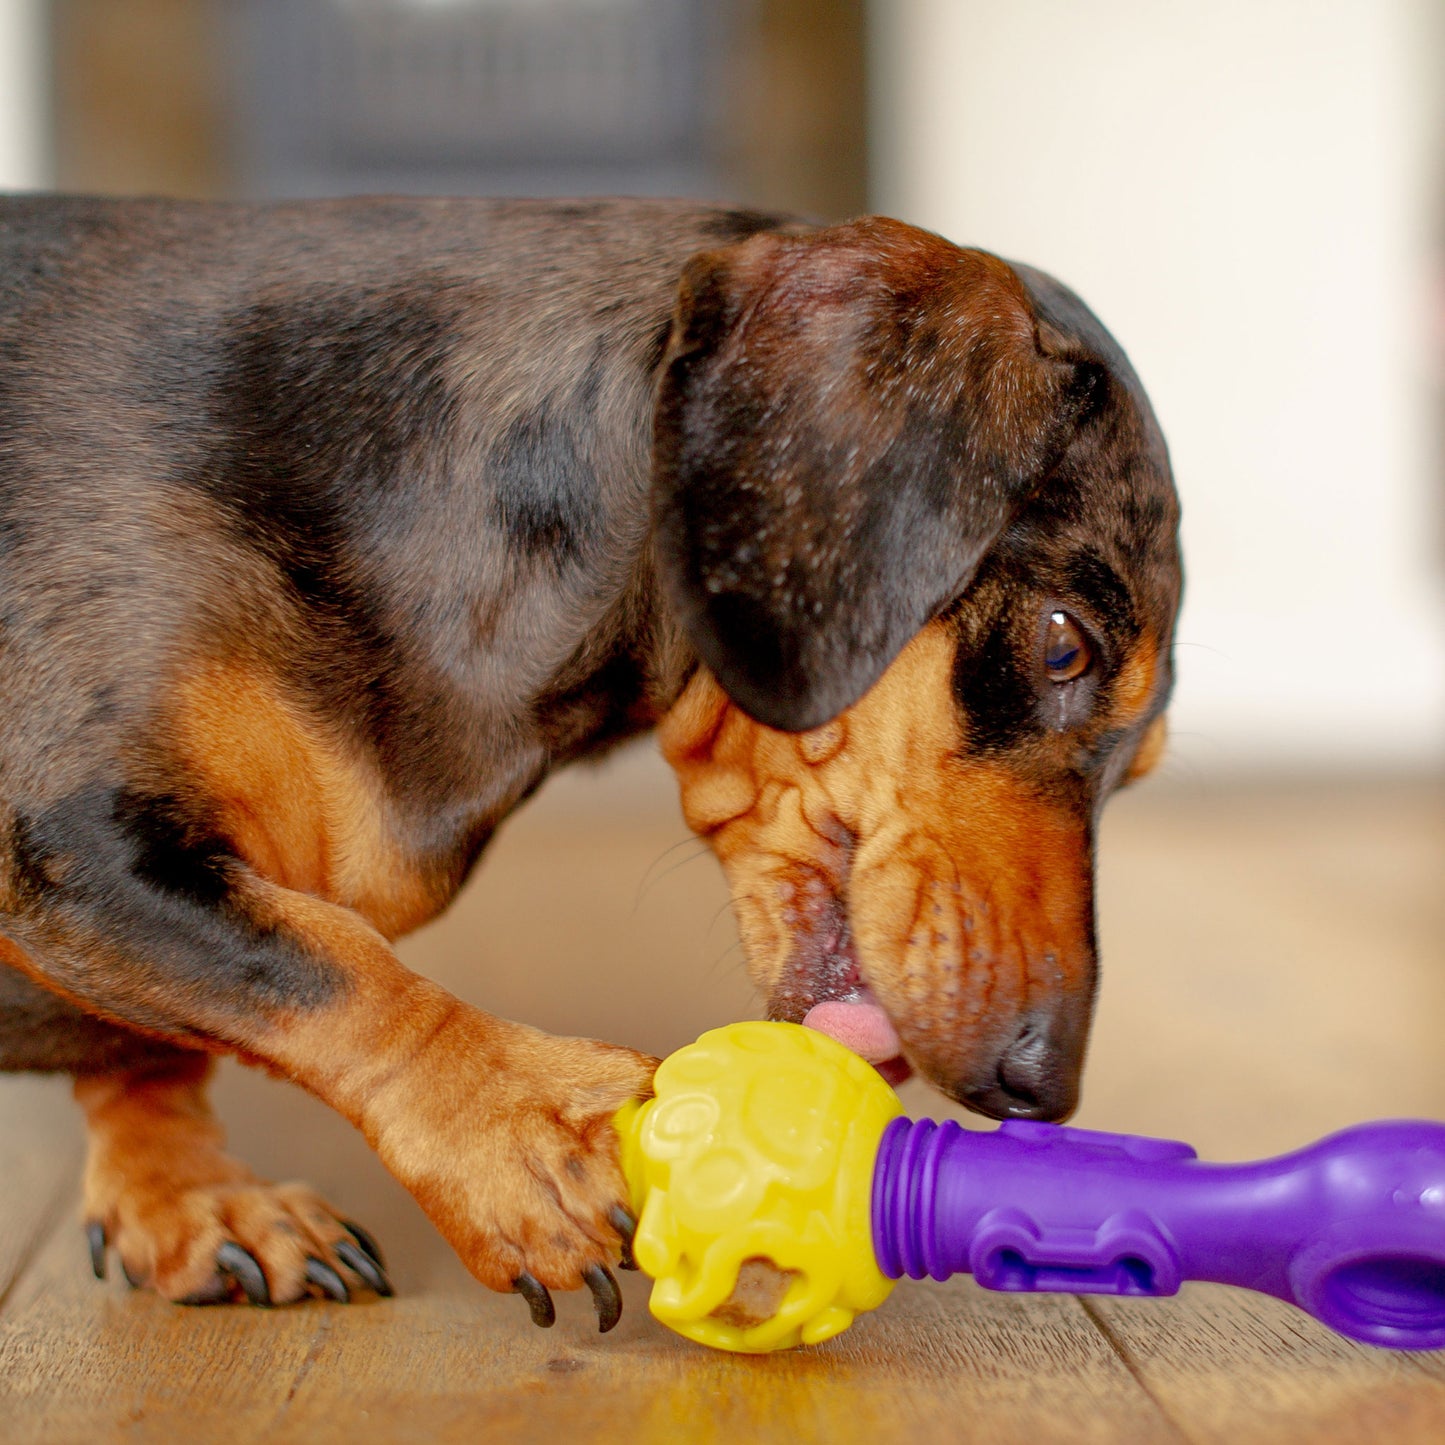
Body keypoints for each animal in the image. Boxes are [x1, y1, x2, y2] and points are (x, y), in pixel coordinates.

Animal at [0, 195, 1179, 1329]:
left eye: (1138, 770)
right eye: (1063, 645)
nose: (1041, 1086)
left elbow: (172, 1035)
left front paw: (191, 1196)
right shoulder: (72, 841)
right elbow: (320, 962)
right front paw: (537, 1131)